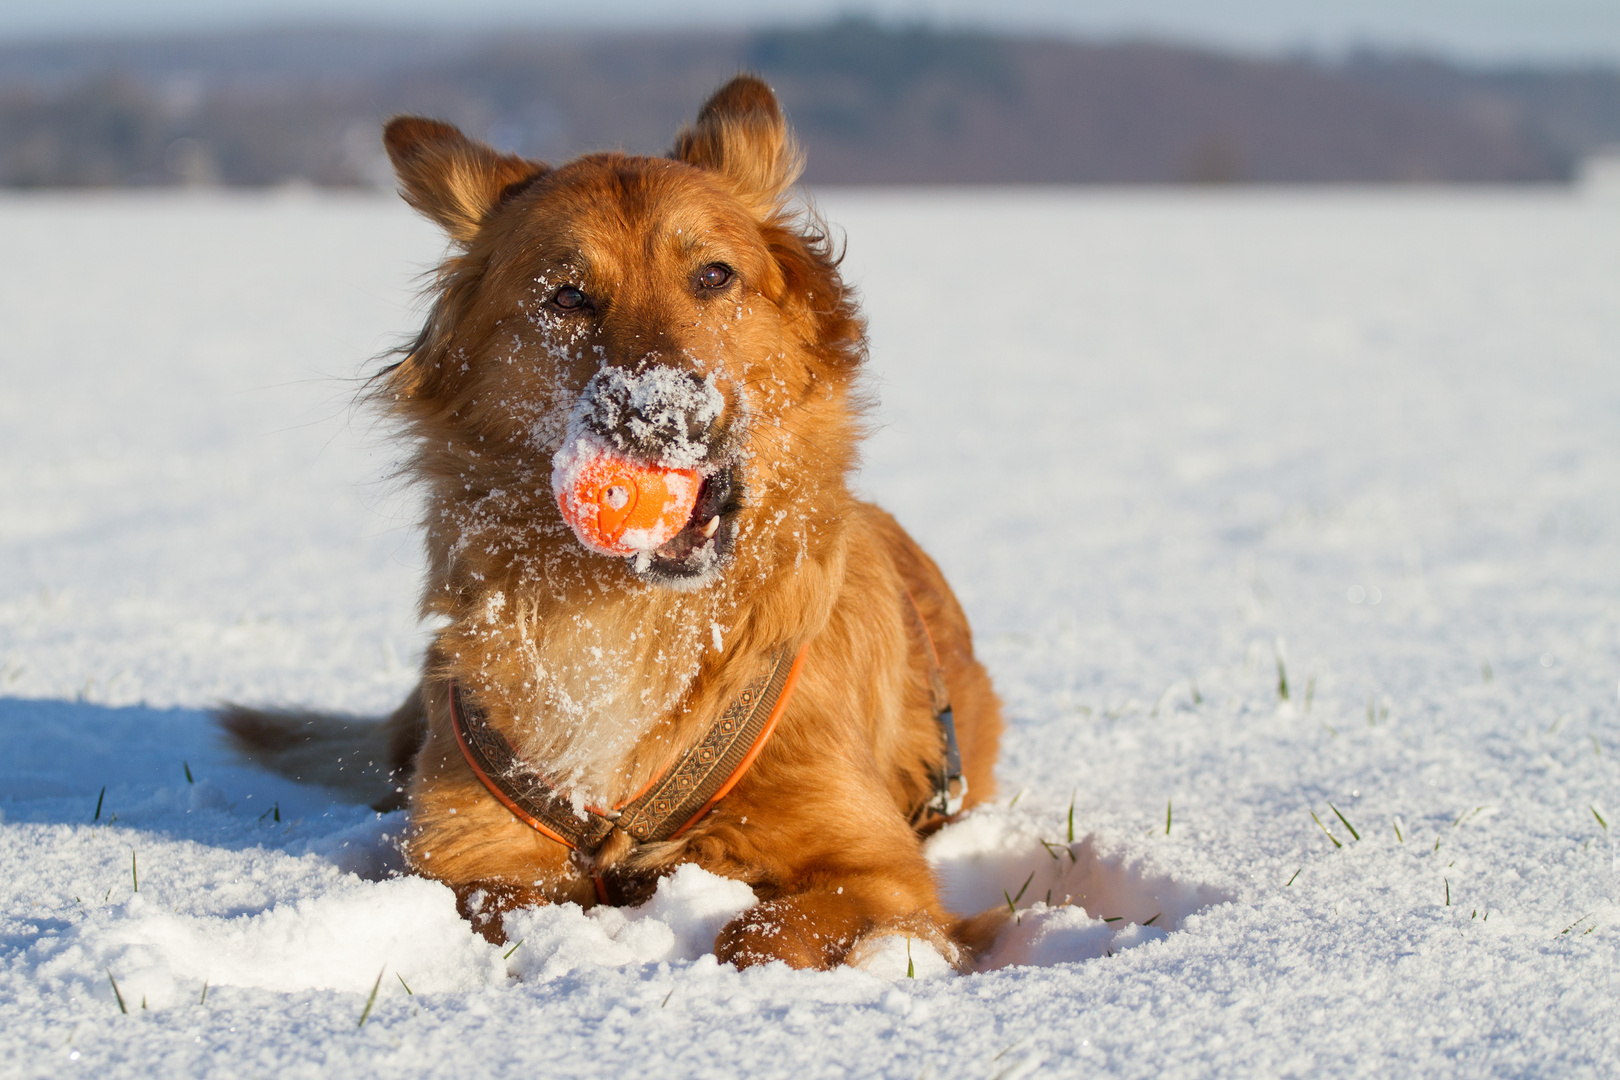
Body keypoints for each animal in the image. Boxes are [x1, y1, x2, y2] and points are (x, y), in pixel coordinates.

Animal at [215, 76, 997, 971]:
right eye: (567, 296)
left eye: (715, 275)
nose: (663, 413)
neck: (633, 615)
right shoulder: (467, 851)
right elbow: (503, 905)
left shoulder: (879, 868)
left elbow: (760, 932)